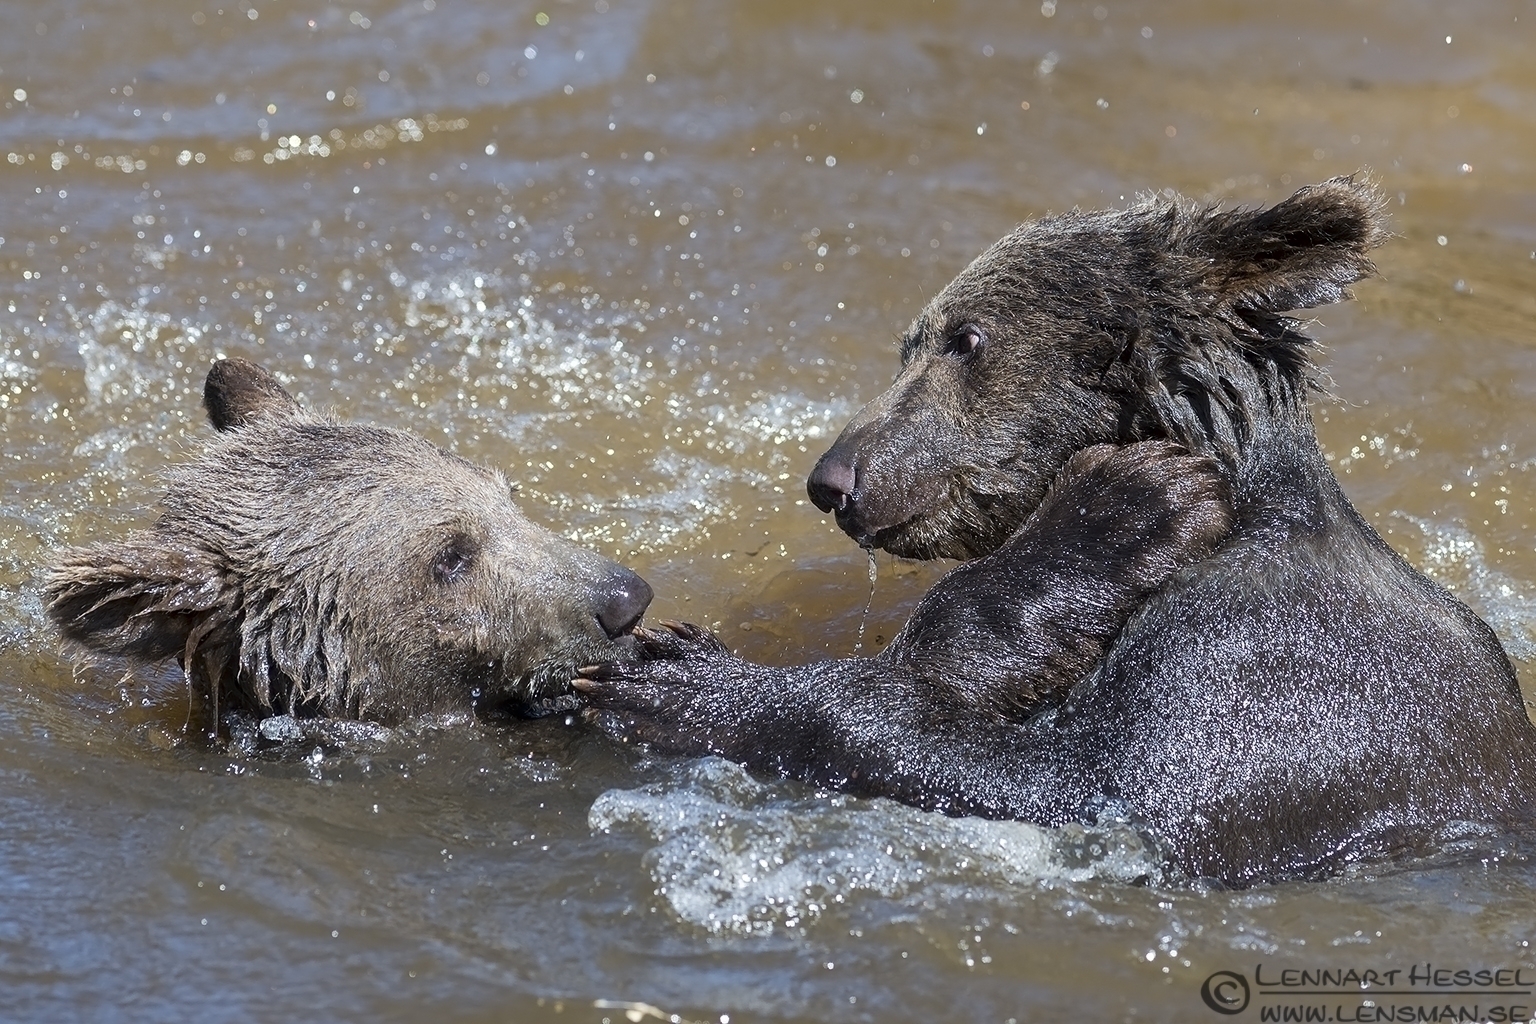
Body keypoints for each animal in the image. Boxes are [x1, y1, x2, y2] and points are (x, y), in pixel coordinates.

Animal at [577, 176, 1536, 886]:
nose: (834, 478)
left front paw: (675, 676)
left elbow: (1091, 792)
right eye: (910, 344)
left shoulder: (1273, 671)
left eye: (963, 338)